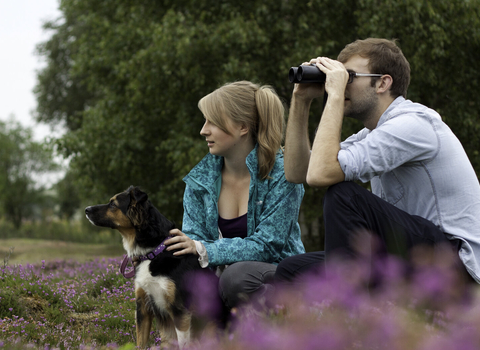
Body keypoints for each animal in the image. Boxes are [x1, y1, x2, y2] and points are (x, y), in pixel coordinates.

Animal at [84, 186, 201, 348]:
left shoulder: (180, 310)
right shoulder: (143, 305)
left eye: (113, 204)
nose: (86, 209)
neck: (153, 251)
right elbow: (141, 342)